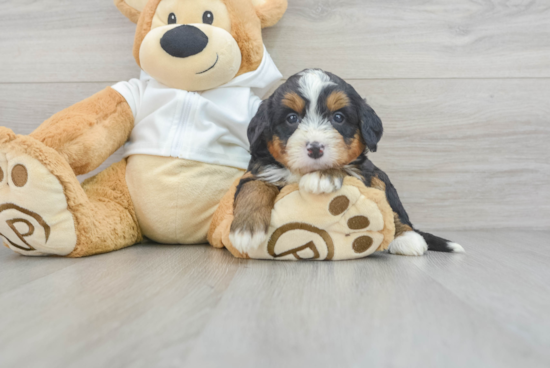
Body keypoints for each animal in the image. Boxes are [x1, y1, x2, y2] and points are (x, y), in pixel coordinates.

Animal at [229, 70, 466, 258]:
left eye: (338, 117)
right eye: (291, 118)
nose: (315, 148)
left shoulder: (364, 170)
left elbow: (346, 167)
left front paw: (322, 176)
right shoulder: (258, 171)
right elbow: (254, 187)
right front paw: (245, 229)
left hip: (380, 177)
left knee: (395, 209)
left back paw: (406, 238)